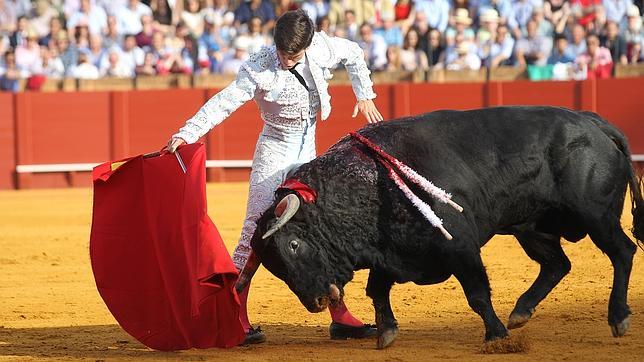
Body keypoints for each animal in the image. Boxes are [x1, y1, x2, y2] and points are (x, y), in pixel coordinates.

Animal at [235, 106, 644, 350]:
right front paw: (386, 333)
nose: (317, 302)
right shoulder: (389, 250)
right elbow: (376, 290)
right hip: (531, 227)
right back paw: (521, 312)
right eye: (272, 265)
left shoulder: (460, 245)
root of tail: (595, 123)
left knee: (622, 252)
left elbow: (476, 293)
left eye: (292, 245)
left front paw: (496, 336)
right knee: (557, 264)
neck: (366, 183)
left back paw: (618, 317)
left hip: (596, 216)